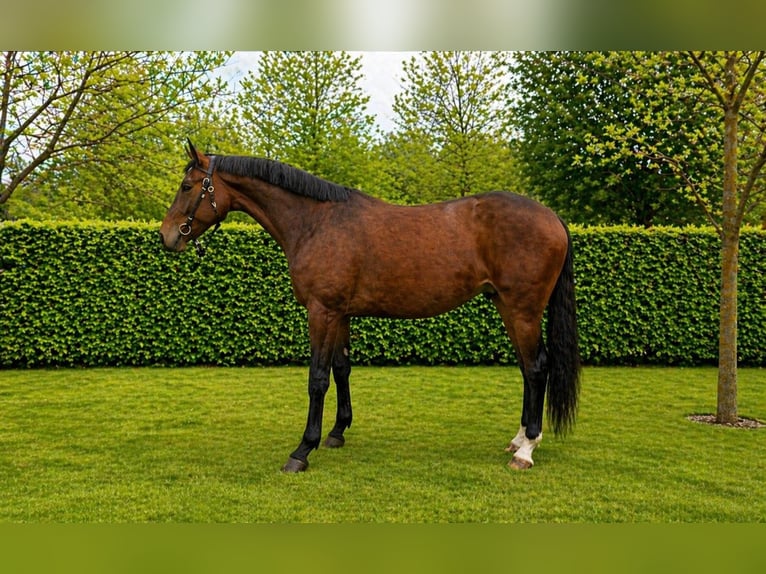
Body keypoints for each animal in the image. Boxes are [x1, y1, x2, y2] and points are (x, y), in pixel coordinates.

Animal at [159, 141, 581, 472]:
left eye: (186, 186)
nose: (167, 236)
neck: (316, 222)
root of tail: (553, 217)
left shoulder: (321, 311)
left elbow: (317, 378)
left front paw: (302, 450)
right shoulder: (341, 314)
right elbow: (342, 369)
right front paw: (337, 432)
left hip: (522, 310)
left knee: (536, 367)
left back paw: (526, 450)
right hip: (507, 307)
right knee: (527, 369)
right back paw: (518, 440)